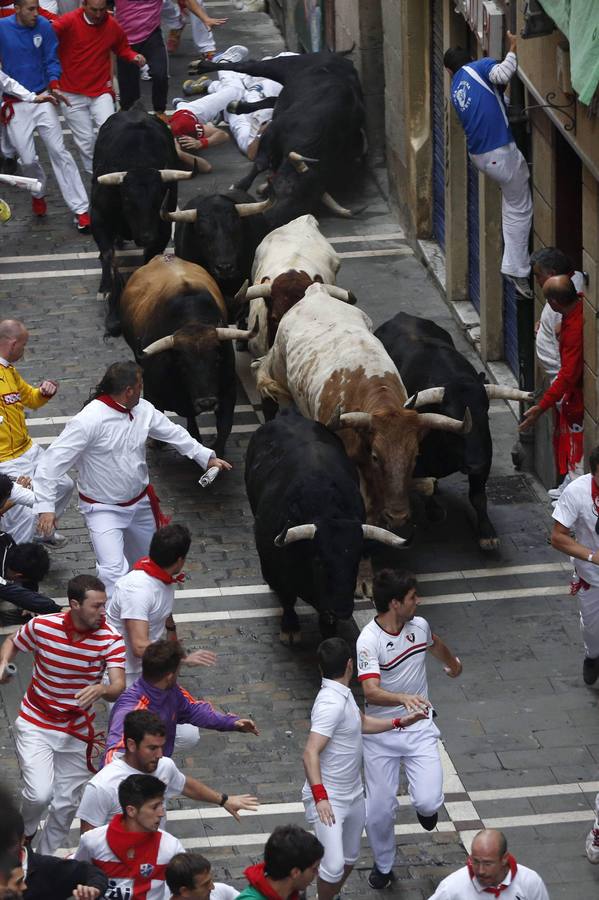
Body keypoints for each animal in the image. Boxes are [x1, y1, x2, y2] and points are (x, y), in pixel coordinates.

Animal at [245, 404, 408, 644]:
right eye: (320, 561)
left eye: (355, 560)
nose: (341, 610)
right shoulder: (273, 563)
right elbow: (287, 597)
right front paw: (290, 628)